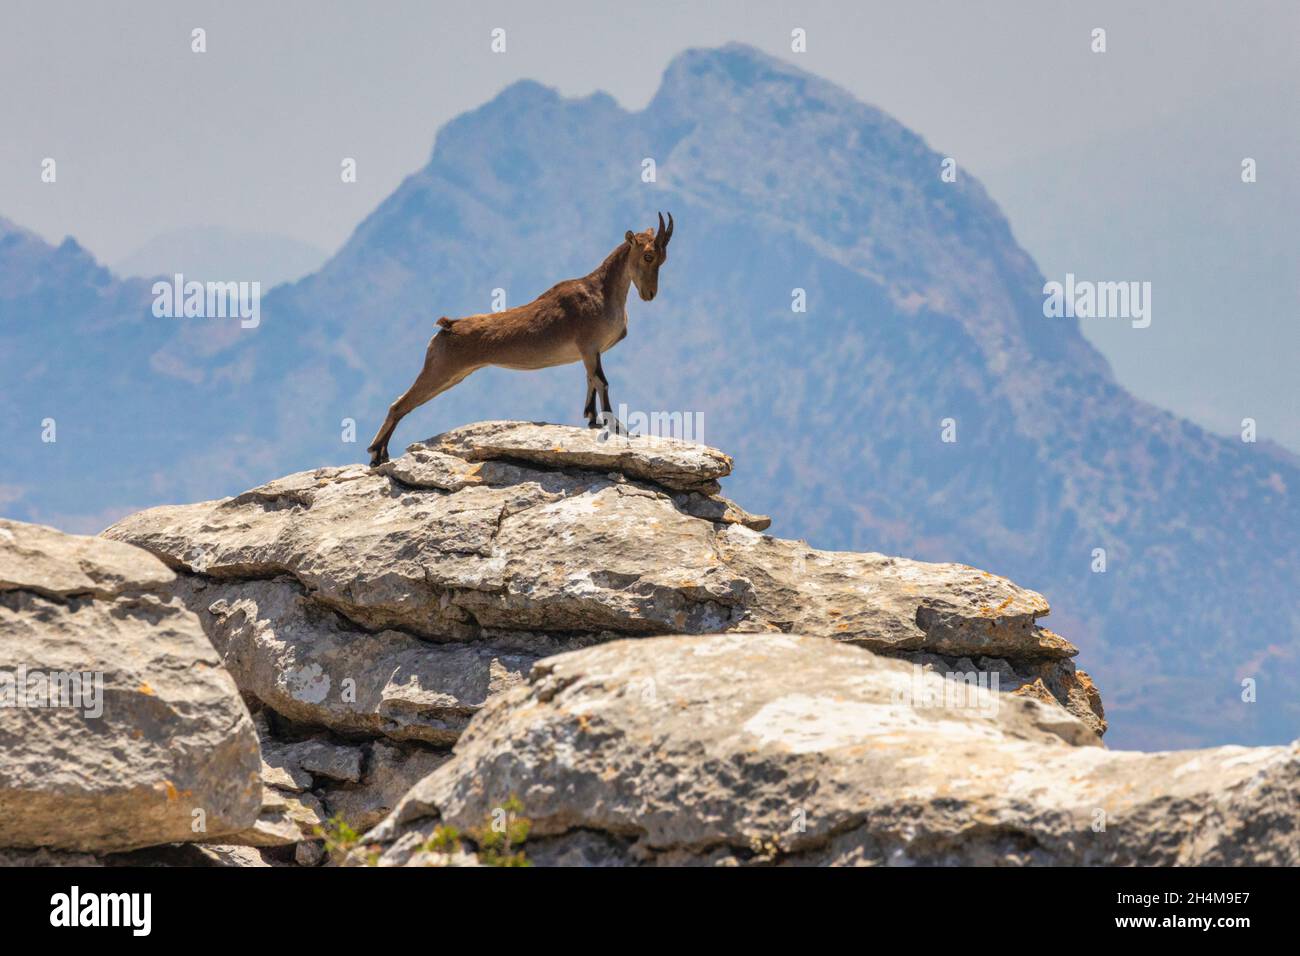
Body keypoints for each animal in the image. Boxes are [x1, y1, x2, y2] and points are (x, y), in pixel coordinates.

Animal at [366, 212, 673, 467]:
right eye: (648, 255)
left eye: (663, 258)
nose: (649, 294)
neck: (603, 290)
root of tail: (447, 327)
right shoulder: (589, 347)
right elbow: (602, 381)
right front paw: (617, 426)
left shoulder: (589, 353)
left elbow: (590, 381)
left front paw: (592, 419)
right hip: (441, 368)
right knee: (399, 404)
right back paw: (377, 454)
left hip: (453, 374)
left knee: (401, 402)